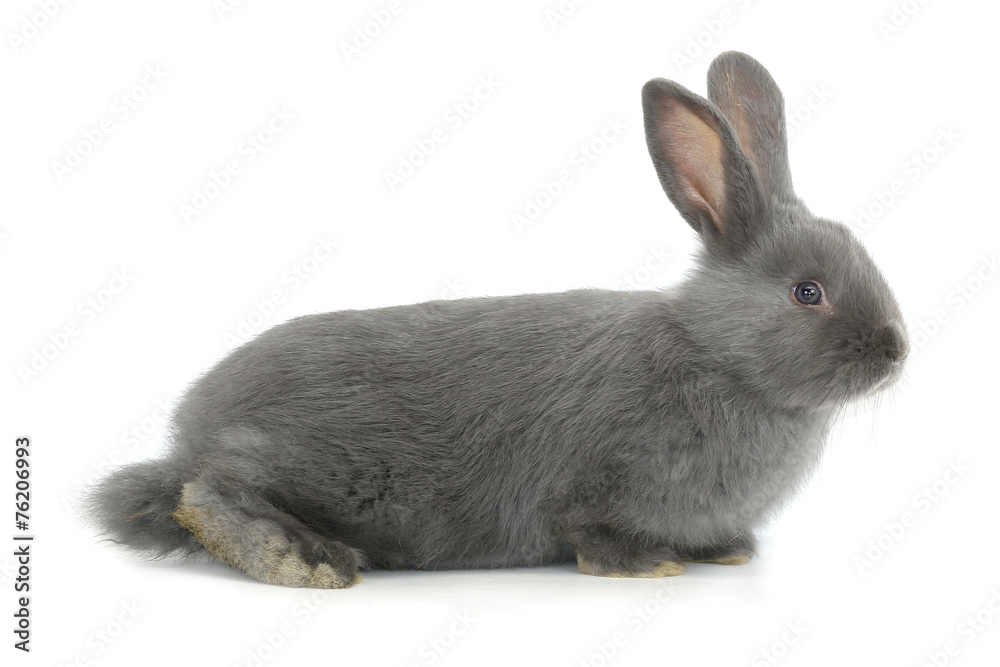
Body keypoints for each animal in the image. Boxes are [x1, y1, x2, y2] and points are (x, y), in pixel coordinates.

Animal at [86, 51, 908, 588]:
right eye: (808, 292)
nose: (896, 351)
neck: (717, 353)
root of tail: (189, 431)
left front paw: (728, 550)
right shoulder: (595, 482)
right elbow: (593, 530)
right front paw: (649, 565)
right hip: (331, 470)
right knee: (207, 490)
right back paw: (306, 559)